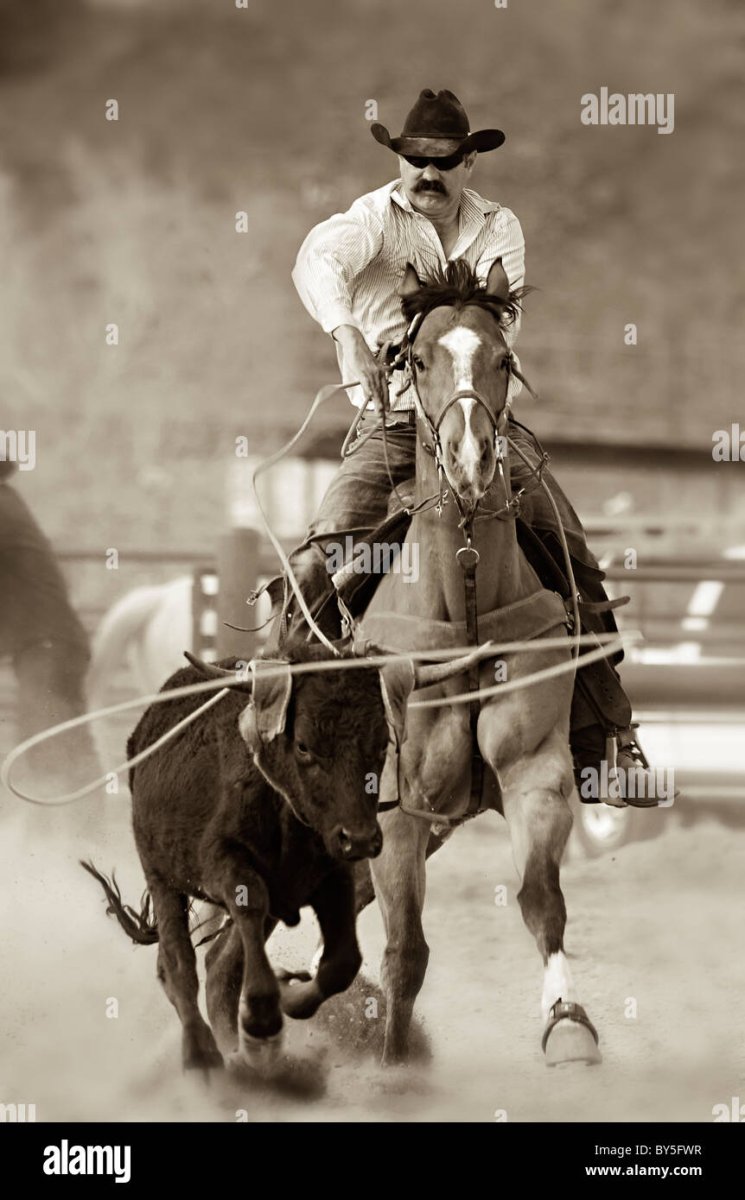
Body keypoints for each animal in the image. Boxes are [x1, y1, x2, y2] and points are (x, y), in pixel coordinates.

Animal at [353, 258, 601, 1067]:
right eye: (418, 359)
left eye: (502, 359)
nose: (468, 460)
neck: (459, 598)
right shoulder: (392, 807)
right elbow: (405, 951)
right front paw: (393, 1067)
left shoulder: (535, 769)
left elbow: (540, 900)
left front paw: (567, 1022)